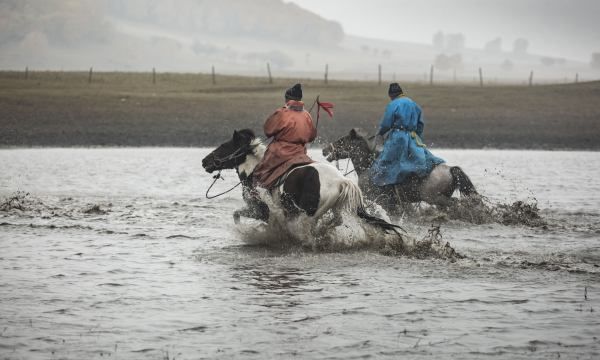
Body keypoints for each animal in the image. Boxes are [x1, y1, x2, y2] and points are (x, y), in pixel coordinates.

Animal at [199, 129, 400, 233]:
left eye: (224, 146)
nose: (204, 161)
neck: (255, 170)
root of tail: (341, 181)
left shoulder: (260, 210)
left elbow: (237, 215)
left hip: (311, 212)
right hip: (332, 208)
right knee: (336, 220)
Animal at [322, 128, 480, 211]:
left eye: (341, 141)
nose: (324, 150)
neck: (368, 167)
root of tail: (451, 169)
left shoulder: (382, 201)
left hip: (436, 198)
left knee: (456, 203)